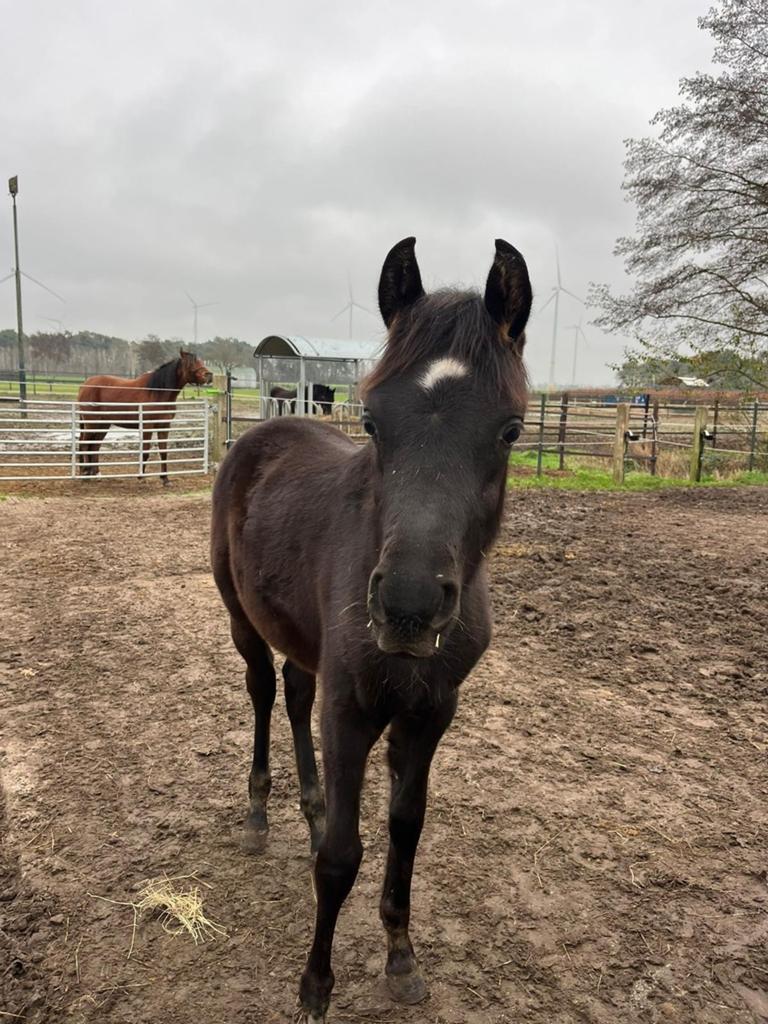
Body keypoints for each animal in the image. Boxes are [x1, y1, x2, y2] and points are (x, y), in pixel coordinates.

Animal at [77, 350, 212, 484]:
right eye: (191, 363)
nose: (209, 375)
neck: (158, 392)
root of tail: (85, 384)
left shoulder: (164, 426)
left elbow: (163, 452)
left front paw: (165, 479)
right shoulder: (148, 426)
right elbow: (145, 451)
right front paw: (141, 476)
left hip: (103, 424)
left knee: (94, 446)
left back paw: (95, 474)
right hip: (91, 423)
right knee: (84, 443)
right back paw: (85, 474)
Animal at [211, 237, 531, 1023]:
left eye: (510, 429)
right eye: (374, 422)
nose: (408, 606)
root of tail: (264, 429)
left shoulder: (430, 712)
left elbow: (404, 828)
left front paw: (401, 957)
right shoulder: (352, 709)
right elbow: (341, 859)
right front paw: (315, 988)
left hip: (303, 640)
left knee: (295, 694)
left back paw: (313, 807)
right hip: (241, 618)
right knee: (263, 692)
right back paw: (260, 816)